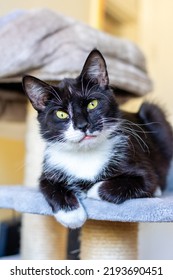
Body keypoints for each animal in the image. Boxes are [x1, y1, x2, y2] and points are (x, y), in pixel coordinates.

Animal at [22, 48, 173, 228]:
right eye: (61, 114)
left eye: (92, 104)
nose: (82, 125)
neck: (85, 153)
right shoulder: (50, 169)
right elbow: (48, 186)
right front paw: (71, 215)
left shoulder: (138, 162)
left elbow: (147, 180)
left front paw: (90, 191)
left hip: (153, 112)